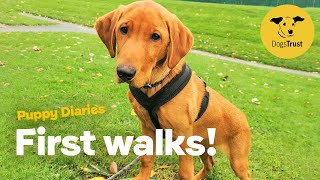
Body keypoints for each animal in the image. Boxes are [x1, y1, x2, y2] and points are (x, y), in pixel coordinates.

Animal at [96, 0, 251, 179]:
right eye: (123, 29)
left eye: (156, 36)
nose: (124, 73)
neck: (154, 85)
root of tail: (244, 118)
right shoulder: (148, 128)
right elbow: (146, 159)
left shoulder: (183, 137)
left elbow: (184, 171)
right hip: (203, 145)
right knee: (210, 163)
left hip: (237, 161)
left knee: (244, 173)